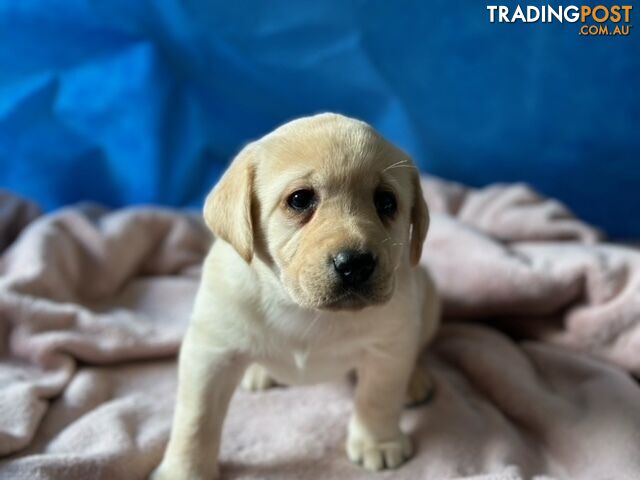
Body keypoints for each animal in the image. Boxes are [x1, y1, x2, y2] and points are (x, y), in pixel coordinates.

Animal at [151, 113, 440, 480]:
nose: (356, 264)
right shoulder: (209, 353)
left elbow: (378, 397)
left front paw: (379, 442)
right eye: (300, 200)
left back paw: (414, 379)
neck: (300, 307)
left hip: (427, 300)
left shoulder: (389, 345)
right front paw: (184, 470)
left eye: (387, 203)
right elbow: (196, 419)